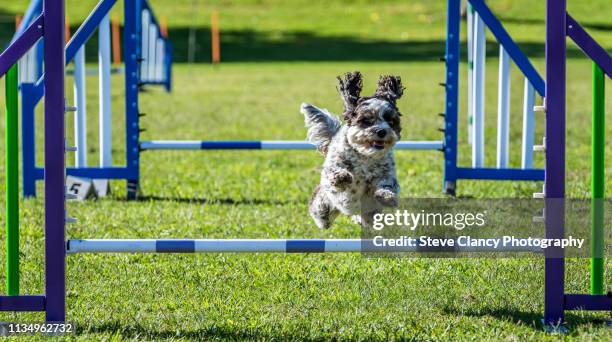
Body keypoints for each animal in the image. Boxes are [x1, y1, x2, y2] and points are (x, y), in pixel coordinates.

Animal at [302, 71, 406, 228]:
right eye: (366, 120)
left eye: (390, 121)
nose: (381, 131)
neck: (365, 156)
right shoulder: (331, 170)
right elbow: (334, 173)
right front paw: (342, 177)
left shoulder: (386, 175)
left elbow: (386, 185)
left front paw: (387, 197)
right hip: (325, 206)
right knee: (320, 211)